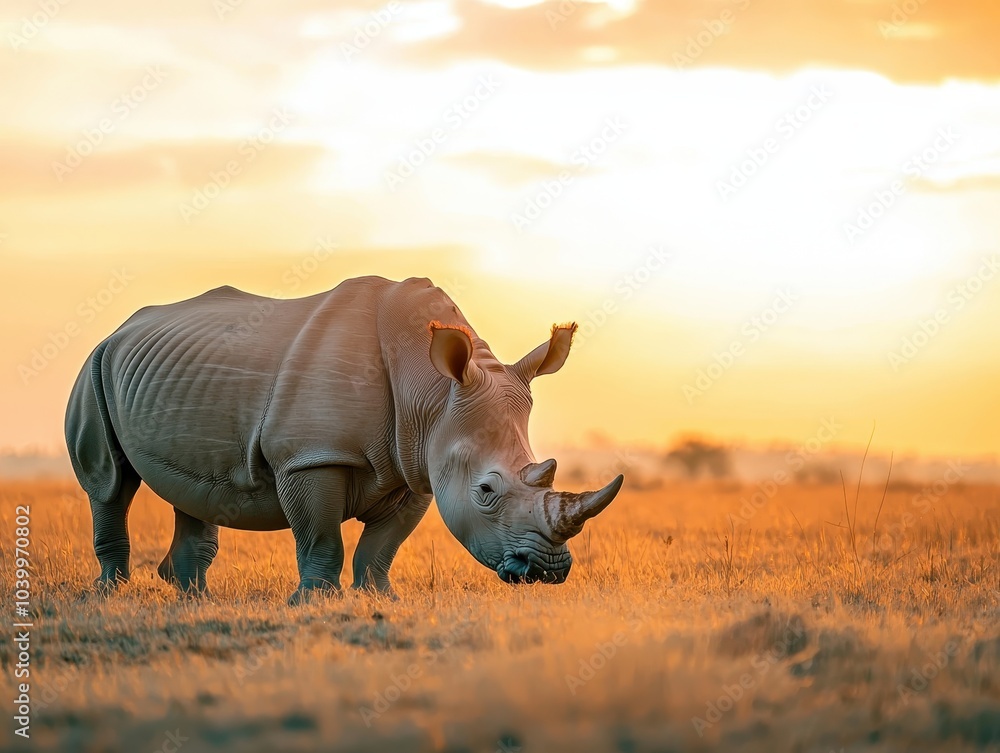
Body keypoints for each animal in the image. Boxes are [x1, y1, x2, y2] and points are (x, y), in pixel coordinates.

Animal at [65, 276, 623, 603]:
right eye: (485, 492)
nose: (547, 571)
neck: (432, 392)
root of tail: (120, 328)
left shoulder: (416, 464)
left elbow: (383, 544)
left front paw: (380, 599)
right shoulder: (309, 457)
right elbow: (320, 533)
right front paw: (315, 602)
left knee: (192, 489)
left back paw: (193, 598)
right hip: (94, 365)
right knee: (109, 483)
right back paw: (111, 594)